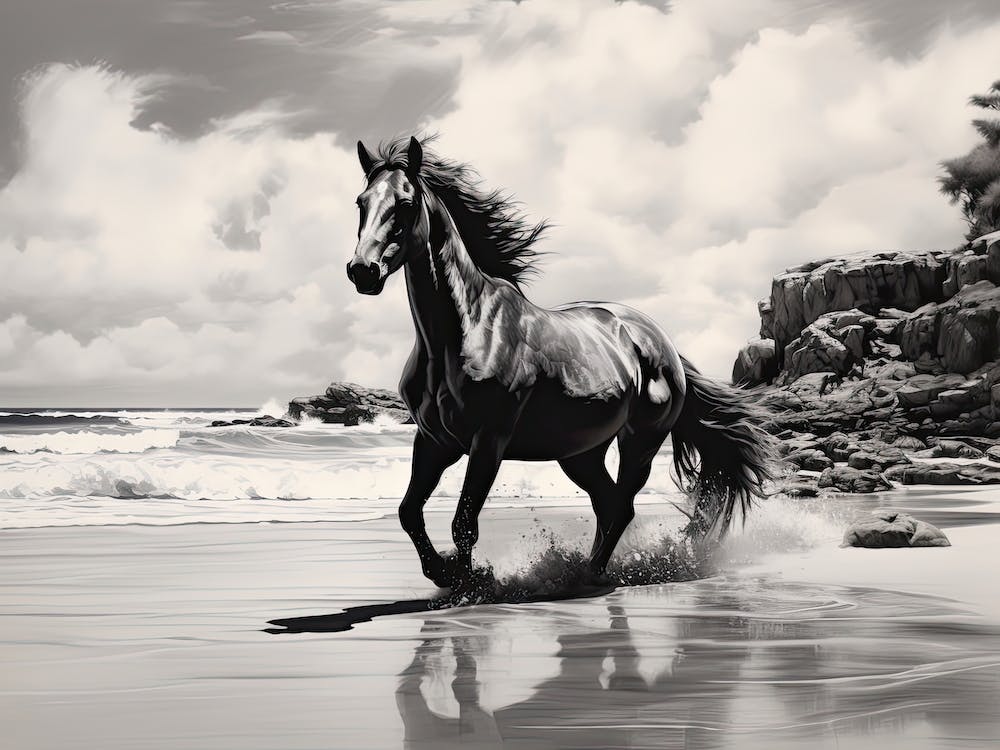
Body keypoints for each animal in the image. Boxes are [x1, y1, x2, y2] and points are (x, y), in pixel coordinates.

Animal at [346, 136, 776, 588]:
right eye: (361, 202)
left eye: (406, 203)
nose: (362, 271)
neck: (462, 332)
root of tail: (663, 345)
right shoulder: (433, 440)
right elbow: (409, 511)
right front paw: (443, 573)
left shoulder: (488, 440)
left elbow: (464, 521)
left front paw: (470, 583)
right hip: (580, 452)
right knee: (608, 504)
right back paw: (584, 571)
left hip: (639, 442)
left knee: (621, 505)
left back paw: (590, 575)